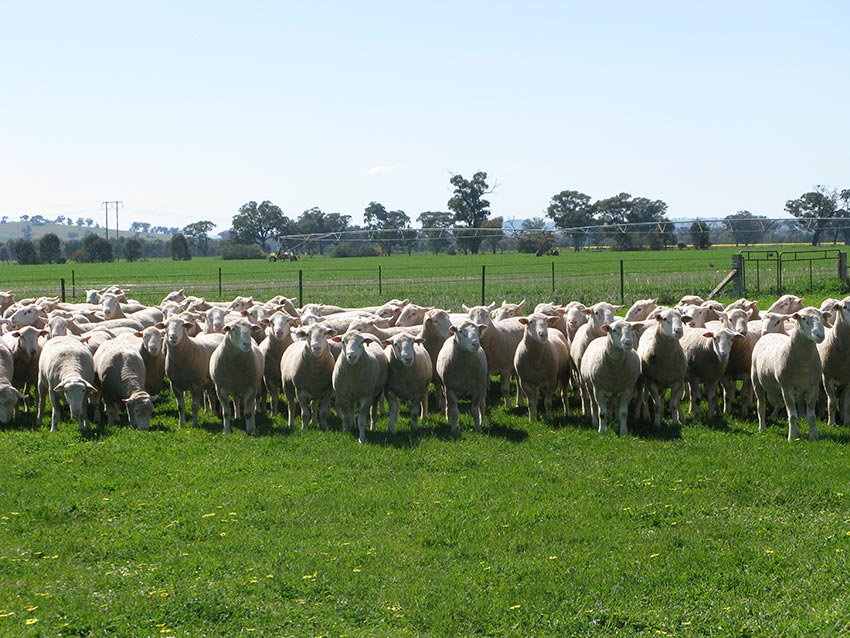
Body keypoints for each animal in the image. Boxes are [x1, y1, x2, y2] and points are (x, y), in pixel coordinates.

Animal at [748, 308, 820, 440]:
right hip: (756, 381)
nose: (764, 332)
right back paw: (762, 427)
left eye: (777, 322)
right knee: (761, 405)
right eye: (762, 320)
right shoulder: (786, 387)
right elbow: (787, 409)